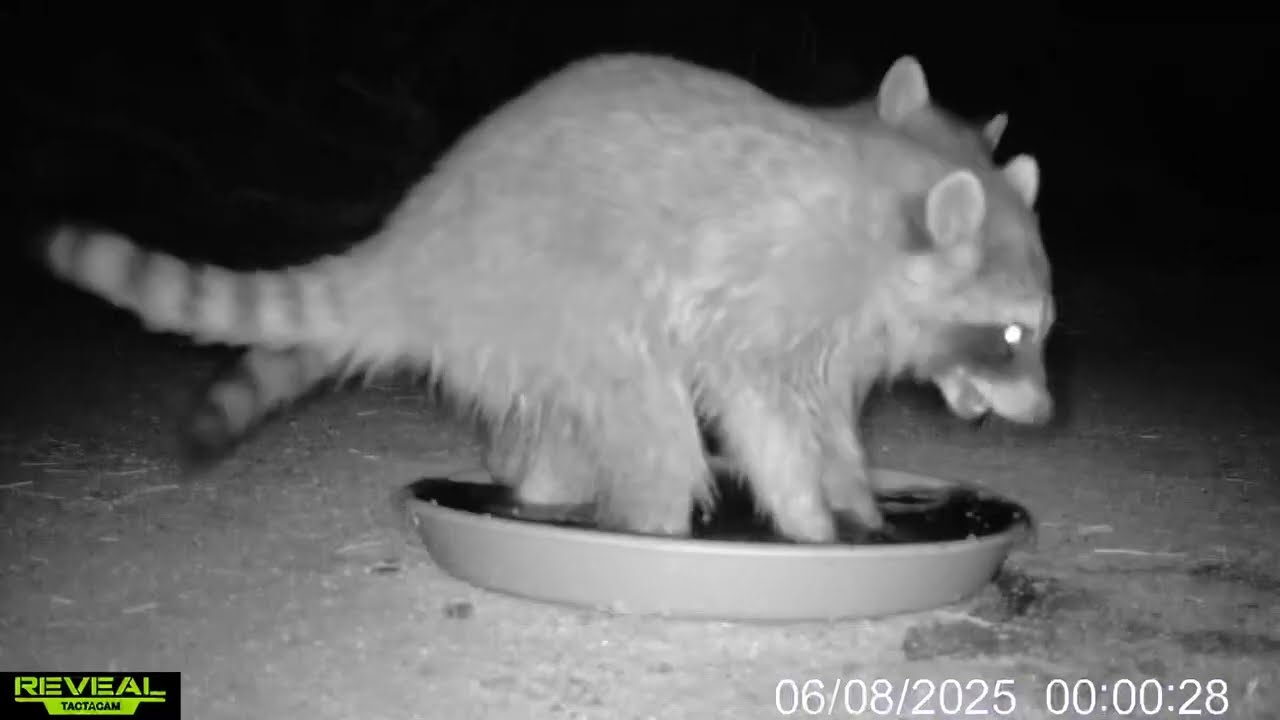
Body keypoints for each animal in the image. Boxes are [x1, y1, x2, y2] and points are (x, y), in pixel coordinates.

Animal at [40, 52, 1052, 543]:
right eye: (1011, 336)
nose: (1046, 415)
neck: (888, 192)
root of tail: (416, 246)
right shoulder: (776, 280)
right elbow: (758, 398)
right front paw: (809, 519)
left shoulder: (840, 330)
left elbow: (829, 415)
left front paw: (858, 501)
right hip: (559, 287)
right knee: (650, 417)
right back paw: (649, 522)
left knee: (573, 431)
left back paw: (545, 488)